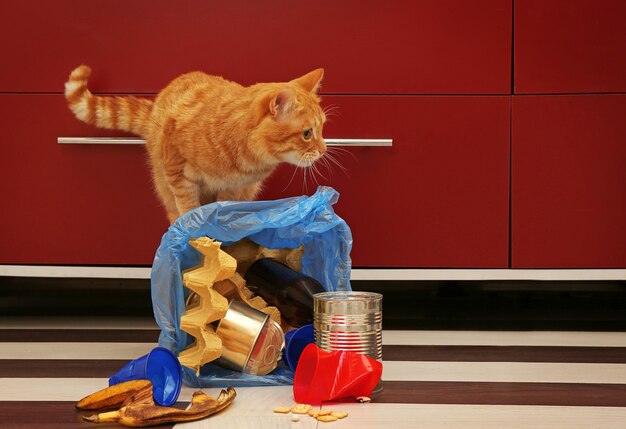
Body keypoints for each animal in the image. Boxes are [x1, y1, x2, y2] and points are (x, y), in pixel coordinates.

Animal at [64, 66, 326, 224]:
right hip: (163, 183)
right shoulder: (176, 171)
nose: (323, 150)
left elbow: (223, 208)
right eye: (306, 133)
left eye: (322, 127)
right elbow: (188, 206)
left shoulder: (235, 188)